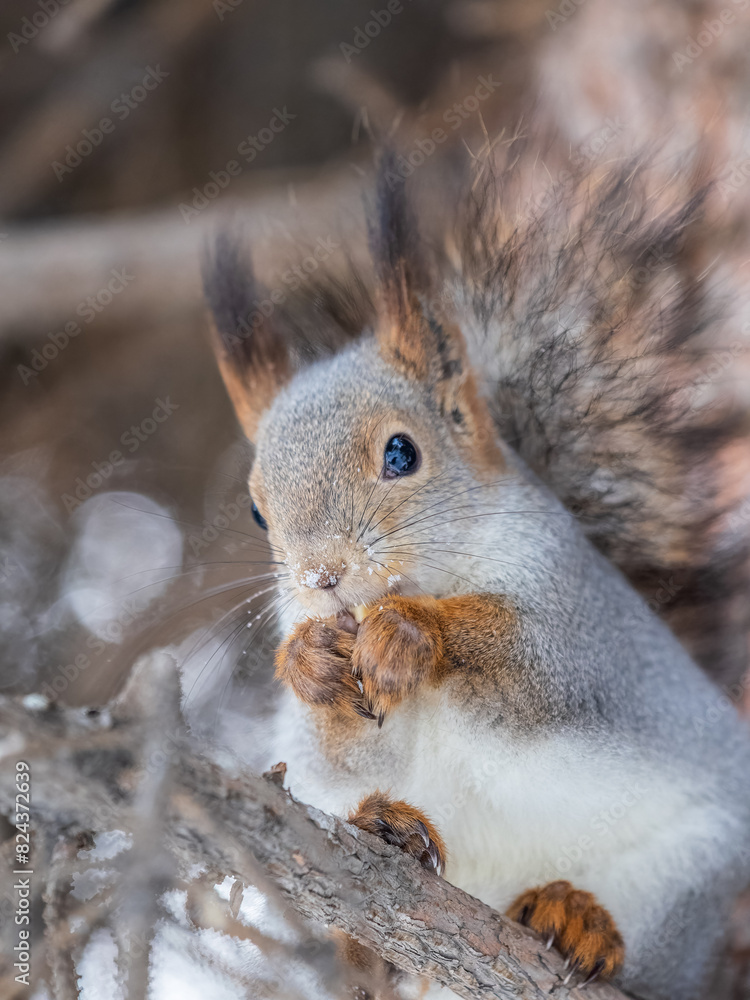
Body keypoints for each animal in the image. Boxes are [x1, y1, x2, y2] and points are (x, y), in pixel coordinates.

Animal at [202, 150, 750, 999]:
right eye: (260, 513)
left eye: (401, 453)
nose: (323, 577)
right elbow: (344, 750)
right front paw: (309, 663)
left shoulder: (580, 619)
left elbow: (535, 666)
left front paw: (409, 633)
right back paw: (380, 869)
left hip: (683, 879)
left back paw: (578, 919)